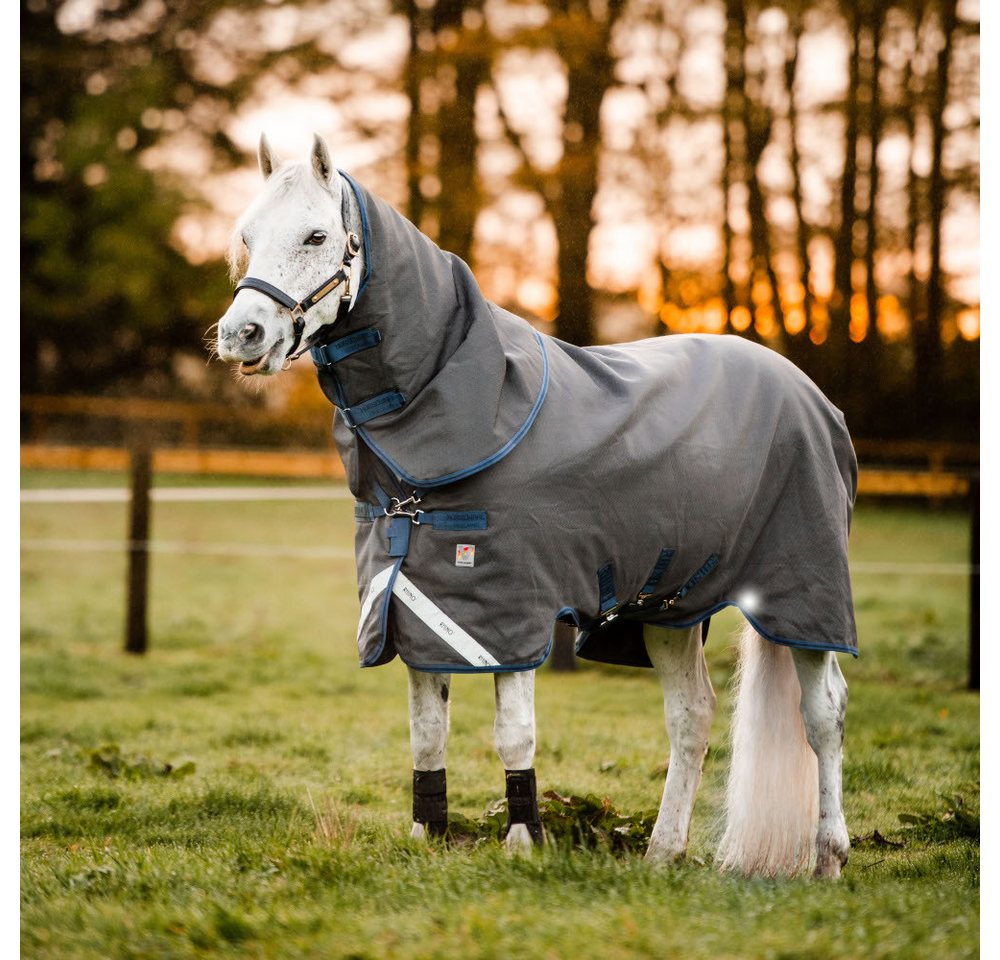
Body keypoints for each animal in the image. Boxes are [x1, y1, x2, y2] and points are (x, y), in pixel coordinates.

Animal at [215, 133, 855, 878]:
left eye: (316, 236)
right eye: (247, 237)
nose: (241, 334)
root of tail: (810, 395)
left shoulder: (508, 611)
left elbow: (513, 733)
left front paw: (523, 842)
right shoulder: (417, 608)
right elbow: (427, 732)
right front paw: (426, 834)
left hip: (801, 597)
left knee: (824, 714)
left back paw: (827, 858)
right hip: (670, 606)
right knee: (693, 715)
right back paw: (662, 853)